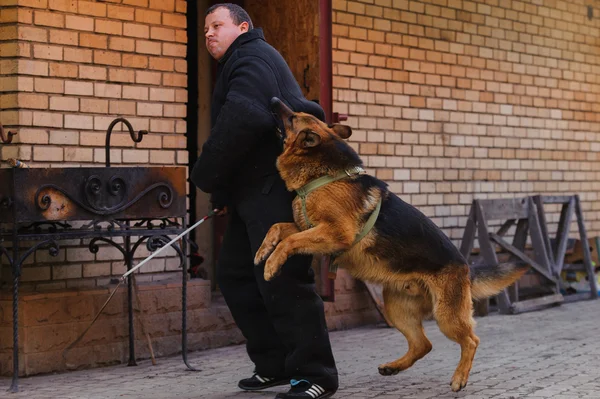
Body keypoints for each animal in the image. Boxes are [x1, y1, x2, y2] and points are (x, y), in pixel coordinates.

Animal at [255, 97, 528, 394]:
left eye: (292, 117)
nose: (273, 100)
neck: (325, 175)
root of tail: (465, 266)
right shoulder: (311, 228)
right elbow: (277, 228)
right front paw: (262, 251)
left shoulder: (335, 233)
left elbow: (290, 240)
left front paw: (271, 266)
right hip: (397, 310)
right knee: (423, 344)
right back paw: (394, 367)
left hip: (446, 316)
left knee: (471, 340)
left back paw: (459, 378)